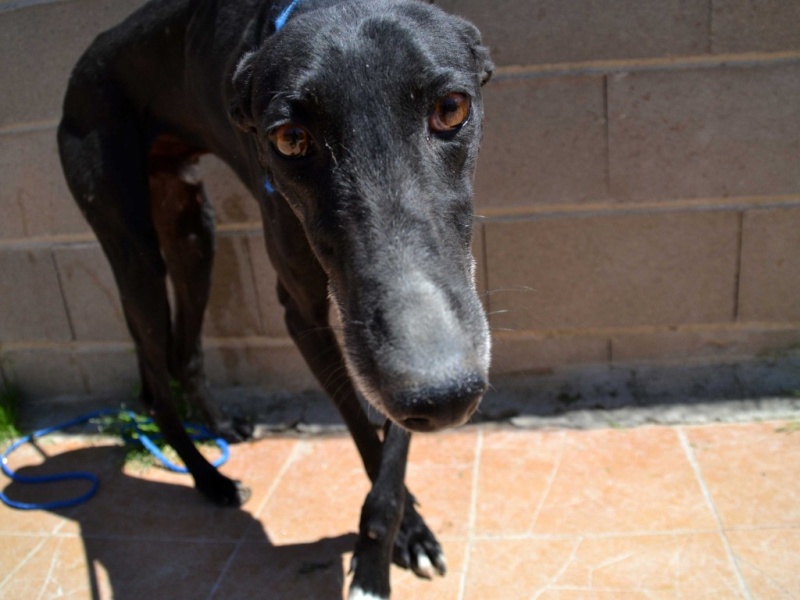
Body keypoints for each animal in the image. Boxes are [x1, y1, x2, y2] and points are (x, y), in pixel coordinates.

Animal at [56, 1, 490, 596]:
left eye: (451, 109)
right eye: (289, 139)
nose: (444, 393)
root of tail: (81, 67)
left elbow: (391, 450)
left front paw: (403, 535)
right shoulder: (303, 314)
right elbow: (364, 428)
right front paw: (391, 547)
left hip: (194, 234)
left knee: (185, 352)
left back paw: (221, 427)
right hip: (134, 251)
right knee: (155, 387)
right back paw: (209, 479)